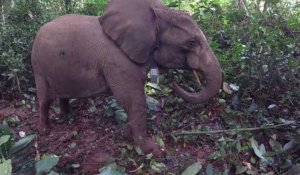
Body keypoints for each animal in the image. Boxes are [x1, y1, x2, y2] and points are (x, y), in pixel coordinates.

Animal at [31, 0, 223, 157]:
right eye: (192, 43)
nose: (173, 83)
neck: (157, 12)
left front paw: (128, 137)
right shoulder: (117, 61)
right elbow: (132, 99)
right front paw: (154, 151)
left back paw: (67, 117)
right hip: (38, 67)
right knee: (44, 99)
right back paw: (45, 130)